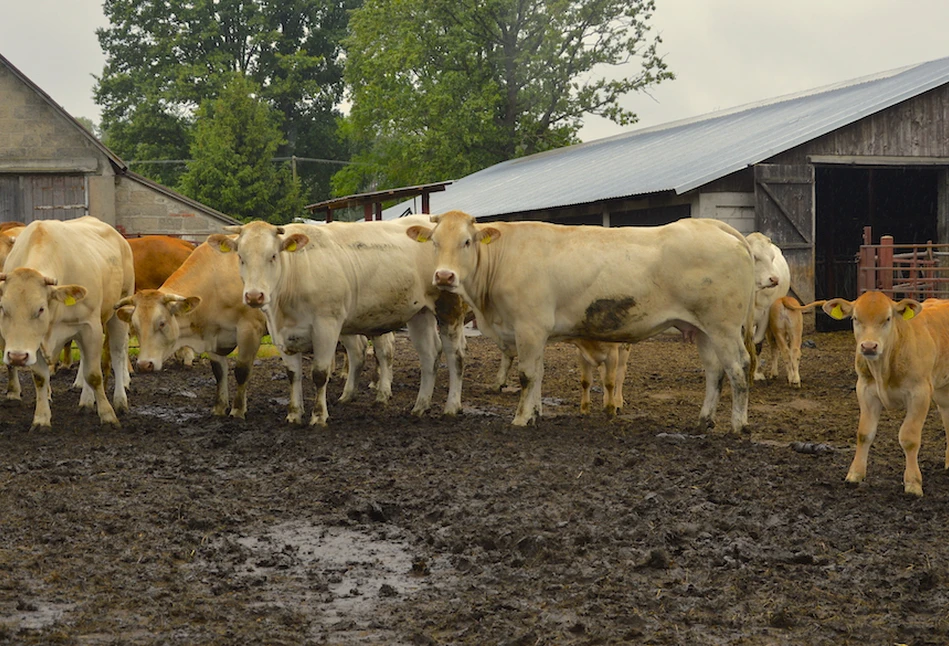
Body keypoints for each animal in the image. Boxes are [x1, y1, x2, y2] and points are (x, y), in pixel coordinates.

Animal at [0, 218, 134, 430]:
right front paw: (41, 419)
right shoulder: (36, 340)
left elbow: (94, 375)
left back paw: (120, 401)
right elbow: (40, 378)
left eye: (40, 309)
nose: (17, 357)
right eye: (3, 308)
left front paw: (108, 416)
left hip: (119, 309)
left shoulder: (90, 327)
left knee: (117, 352)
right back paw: (86, 402)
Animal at [207, 218, 466, 428]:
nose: (254, 296)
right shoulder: (279, 332)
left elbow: (320, 374)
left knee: (455, 356)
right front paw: (294, 414)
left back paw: (451, 407)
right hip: (419, 313)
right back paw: (420, 407)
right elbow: (293, 374)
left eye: (272, 256)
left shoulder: (327, 325)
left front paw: (318, 416)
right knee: (429, 356)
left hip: (449, 307)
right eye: (241, 258)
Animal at [408, 213, 756, 432]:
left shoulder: (529, 327)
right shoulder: (537, 333)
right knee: (714, 372)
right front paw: (535, 414)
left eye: (467, 241)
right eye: (434, 243)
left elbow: (526, 375)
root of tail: (713, 225)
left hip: (724, 327)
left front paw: (520, 418)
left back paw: (738, 425)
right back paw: (704, 419)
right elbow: (538, 375)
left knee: (738, 368)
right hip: (702, 329)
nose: (444, 276)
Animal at [744, 232, 788, 380]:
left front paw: (756, 373)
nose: (774, 279)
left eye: (772, 258)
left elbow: (757, 344)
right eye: (755, 256)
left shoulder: (765, 316)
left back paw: (773, 372)